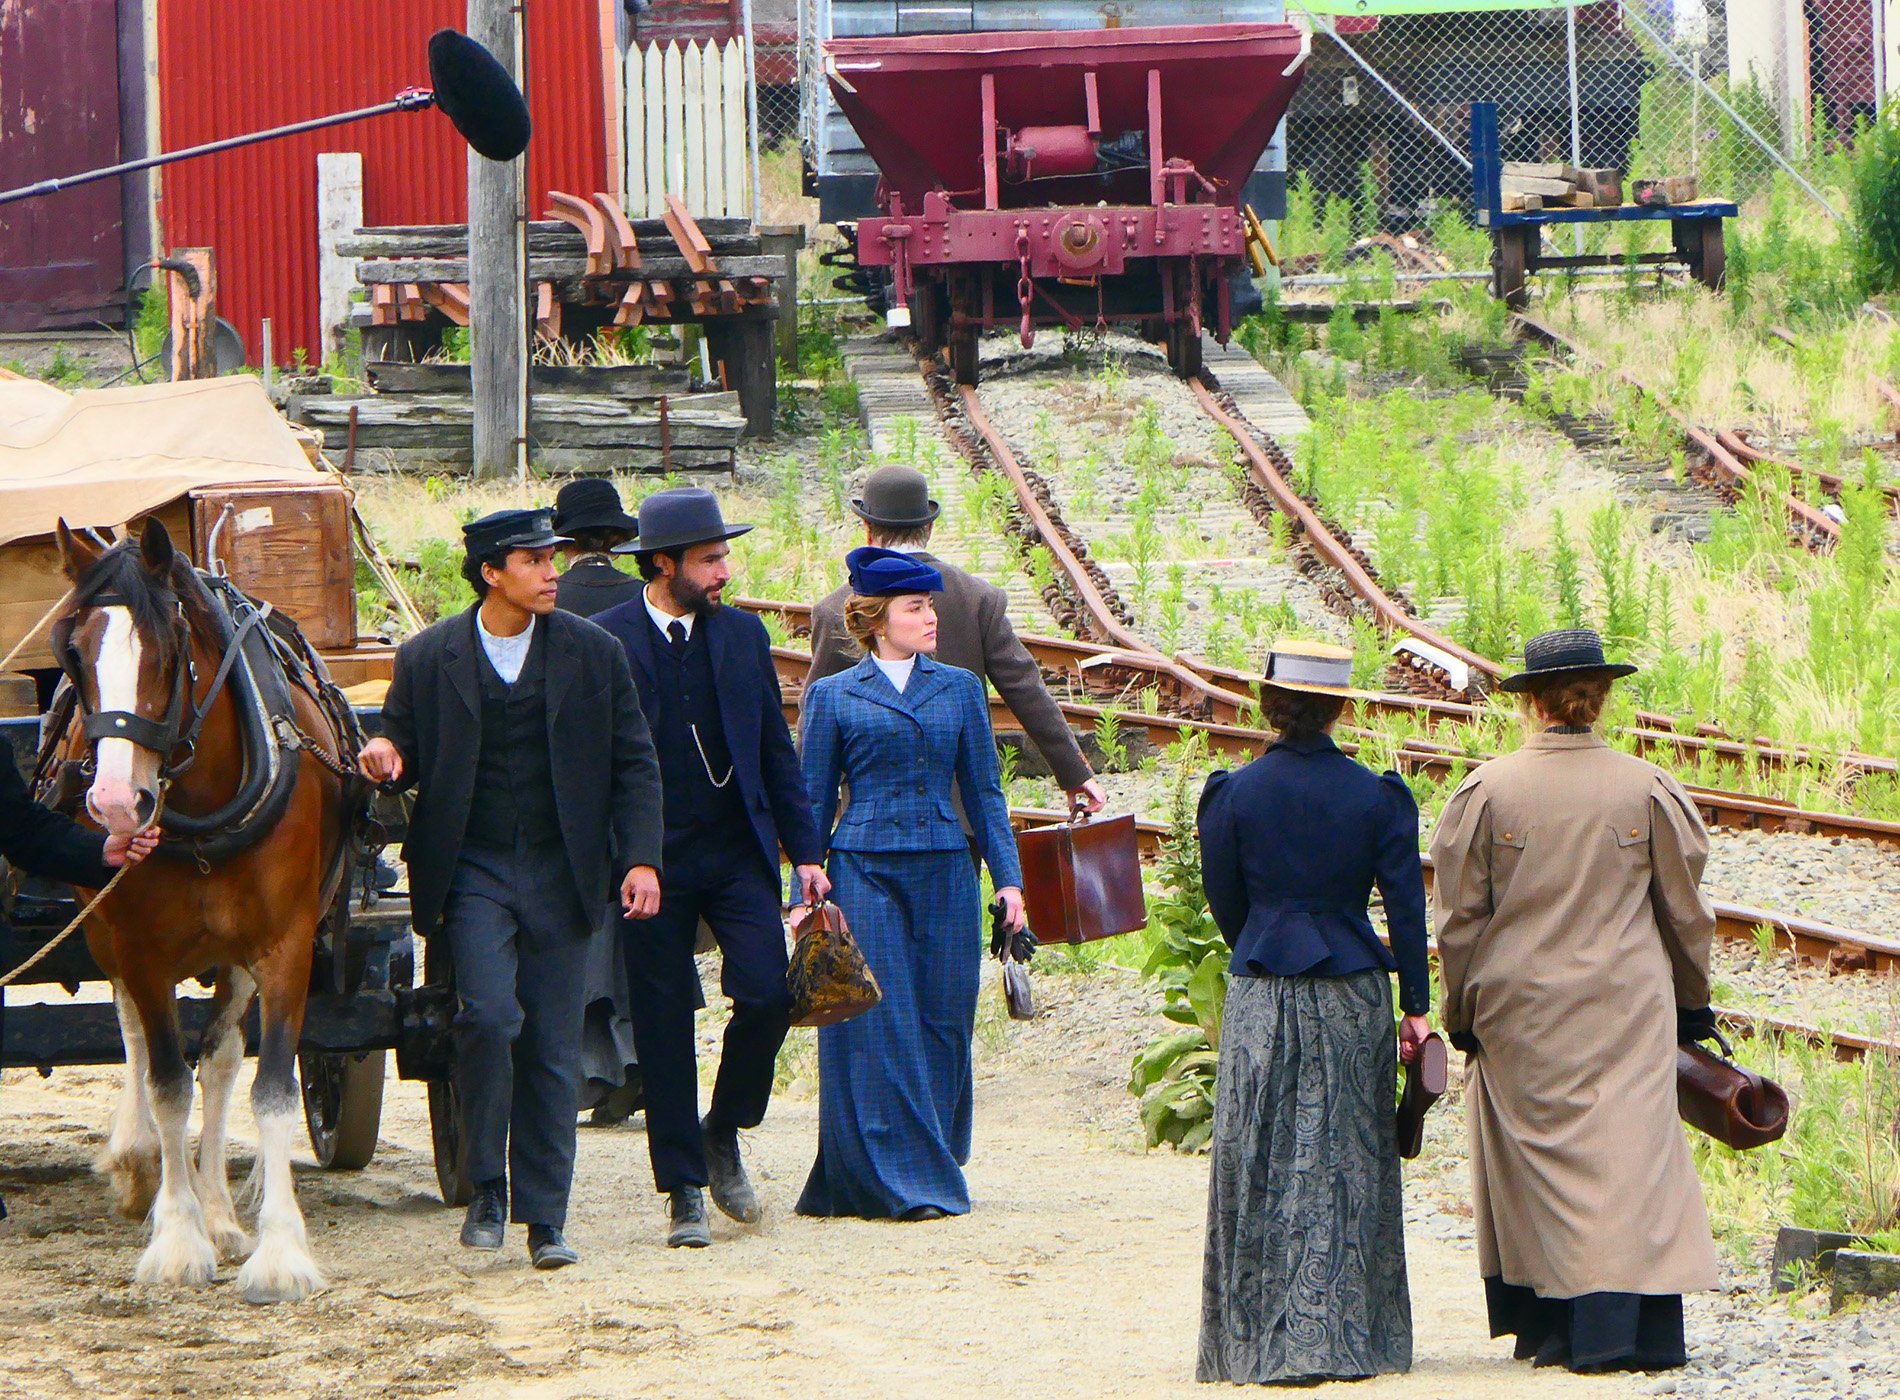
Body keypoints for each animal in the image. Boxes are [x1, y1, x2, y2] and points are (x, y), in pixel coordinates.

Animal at [52, 520, 355, 1306]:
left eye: (168, 651)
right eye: (75, 653)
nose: (115, 804)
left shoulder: (285, 947)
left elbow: (270, 1088)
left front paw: (277, 1250)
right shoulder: (141, 951)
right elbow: (165, 1082)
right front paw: (177, 1238)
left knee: (220, 1059)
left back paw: (219, 1209)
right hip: (108, 937)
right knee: (135, 1035)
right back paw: (144, 1170)